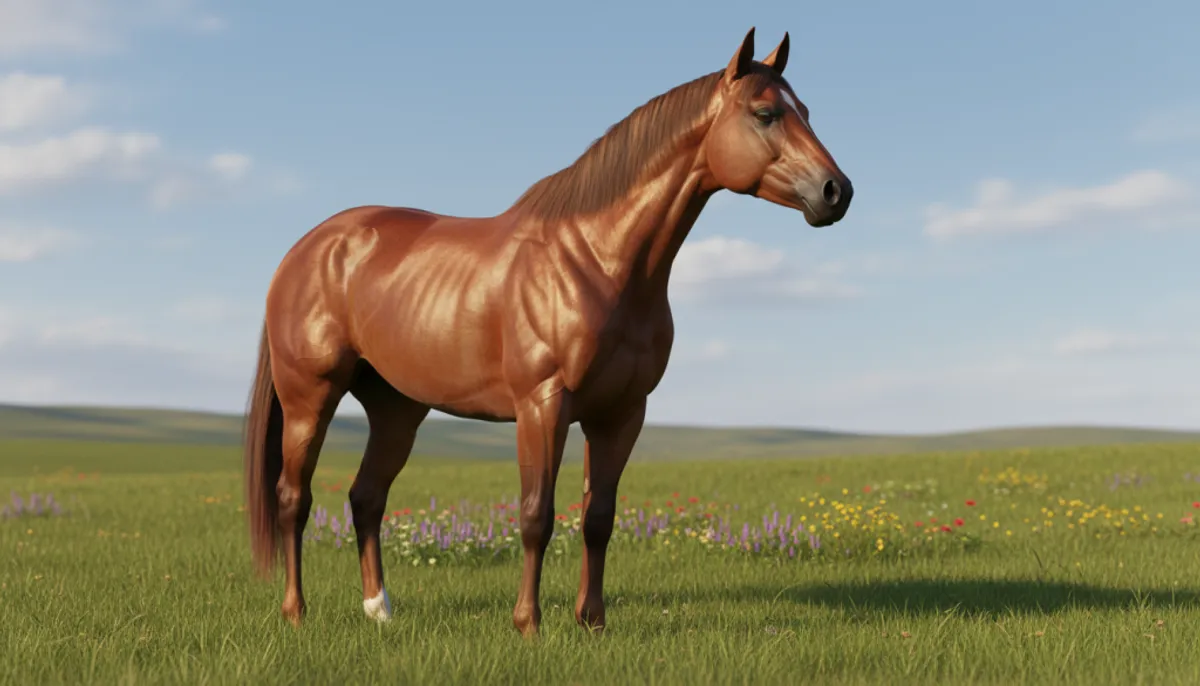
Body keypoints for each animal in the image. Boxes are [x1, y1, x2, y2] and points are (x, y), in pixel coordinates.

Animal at [243, 27, 854, 636]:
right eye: (765, 113)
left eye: (805, 111)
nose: (836, 192)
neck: (595, 261)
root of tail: (305, 251)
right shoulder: (543, 405)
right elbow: (537, 514)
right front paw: (528, 625)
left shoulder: (621, 413)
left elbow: (599, 518)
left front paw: (592, 622)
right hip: (309, 398)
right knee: (293, 498)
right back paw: (295, 612)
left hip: (397, 408)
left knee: (366, 496)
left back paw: (379, 611)